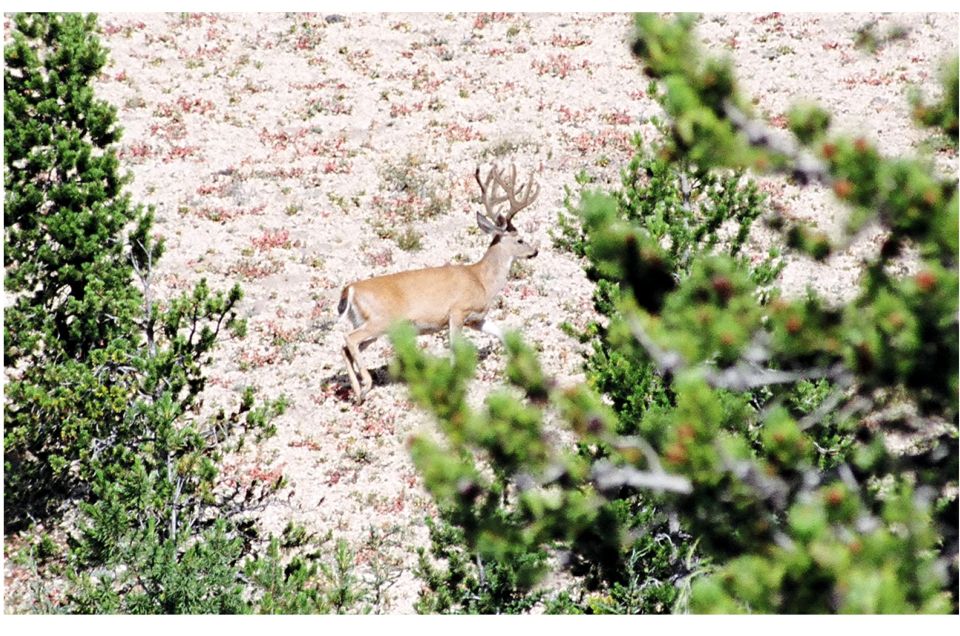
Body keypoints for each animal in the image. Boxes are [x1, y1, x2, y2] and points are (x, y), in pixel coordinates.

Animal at [337, 163, 541, 403]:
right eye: (520, 240)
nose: (535, 251)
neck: (482, 280)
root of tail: (350, 289)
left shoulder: (476, 318)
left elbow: (501, 333)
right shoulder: (458, 310)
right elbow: (454, 348)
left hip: (371, 325)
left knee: (346, 347)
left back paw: (358, 392)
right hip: (380, 320)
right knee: (348, 339)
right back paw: (366, 384)